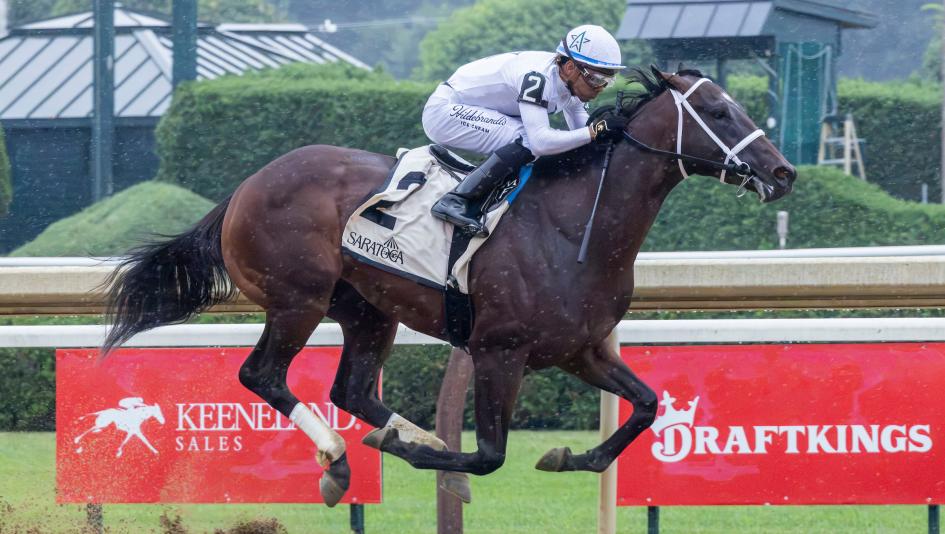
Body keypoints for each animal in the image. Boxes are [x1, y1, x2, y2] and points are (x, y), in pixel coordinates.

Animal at [102, 67, 795, 506]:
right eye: (717, 110)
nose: (784, 172)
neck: (573, 224)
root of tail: (245, 187)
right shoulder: (499, 350)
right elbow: (489, 455)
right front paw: (425, 457)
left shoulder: (580, 349)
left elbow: (647, 405)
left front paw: (569, 457)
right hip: (298, 297)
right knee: (264, 375)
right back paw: (341, 458)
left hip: (367, 308)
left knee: (351, 390)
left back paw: (409, 434)